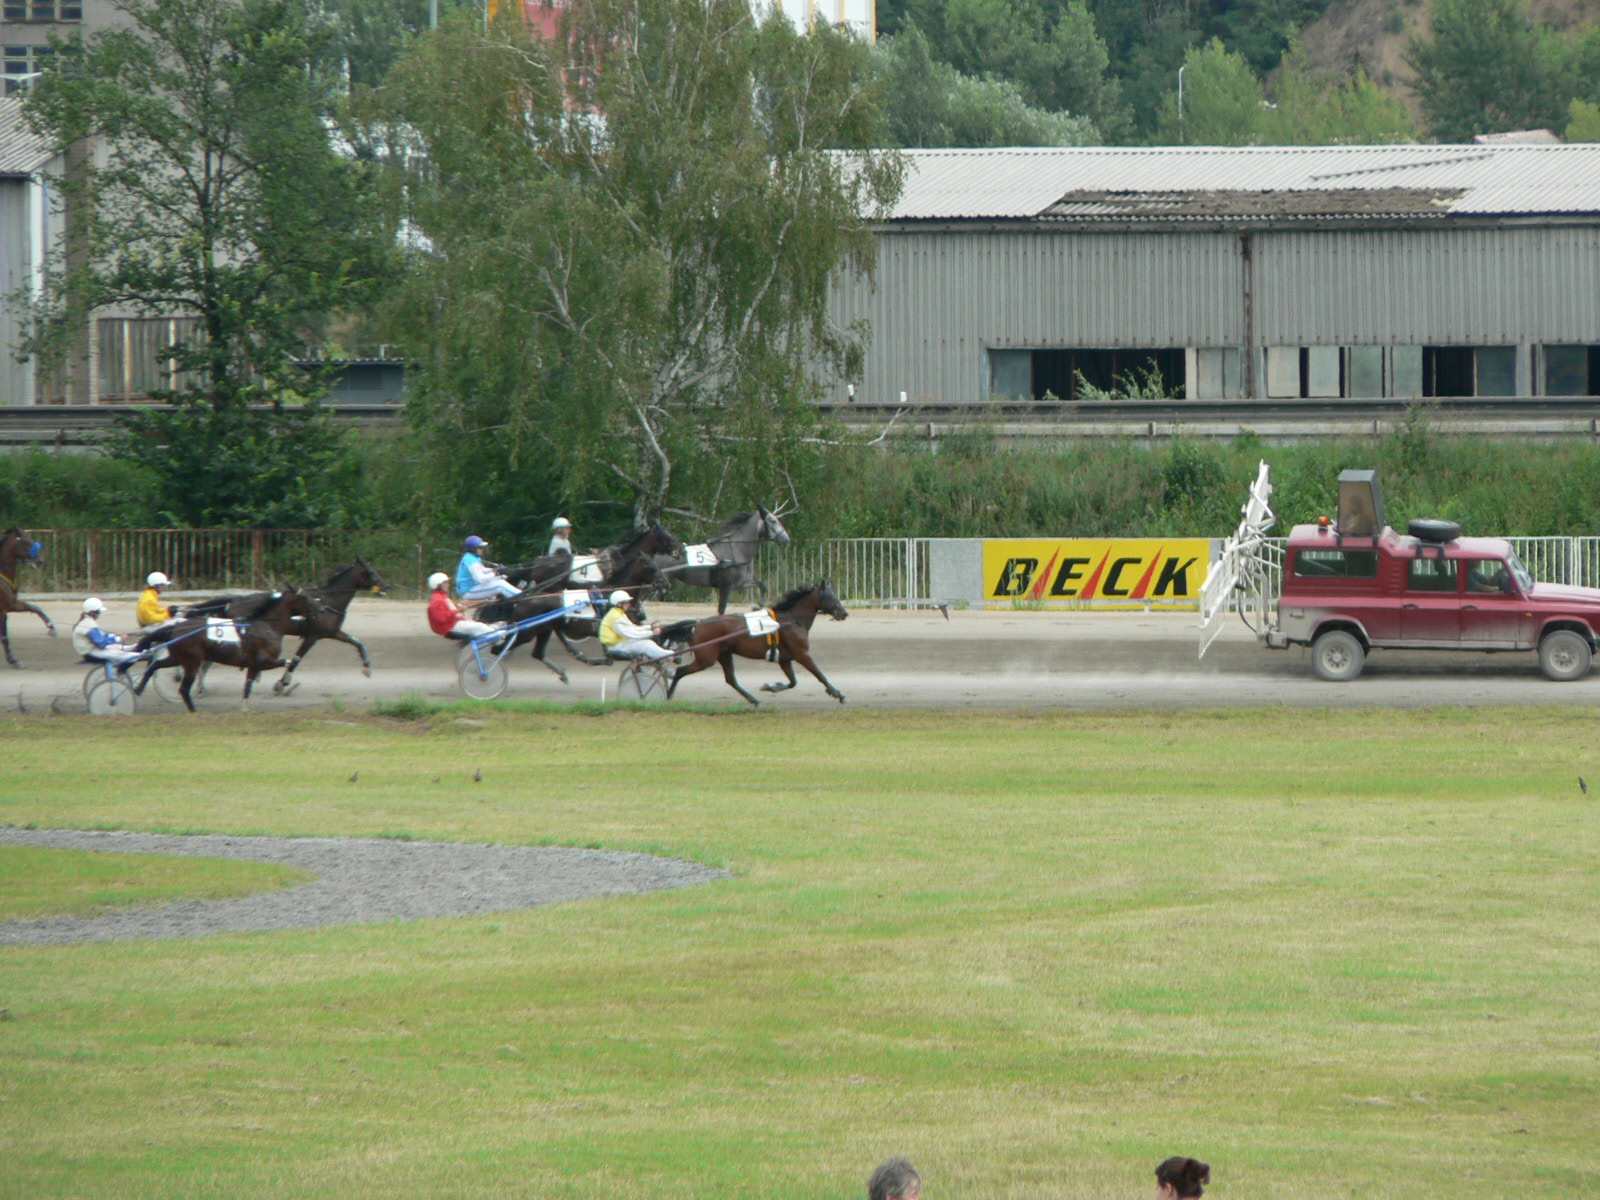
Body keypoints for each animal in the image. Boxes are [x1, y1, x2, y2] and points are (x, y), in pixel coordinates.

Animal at [0, 524, 56, 668]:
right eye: (26, 542)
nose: (40, 561)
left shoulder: (12, 605)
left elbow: (34, 608)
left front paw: (51, 627)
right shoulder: (2, 611)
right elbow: (4, 637)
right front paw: (13, 660)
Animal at [140, 588, 312, 713]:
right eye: (306, 599)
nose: (316, 613)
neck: (265, 626)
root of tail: (176, 627)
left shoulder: (254, 664)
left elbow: (248, 685)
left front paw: (245, 708)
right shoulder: (264, 661)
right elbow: (288, 662)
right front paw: (284, 683)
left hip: (178, 657)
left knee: (155, 665)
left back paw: (139, 688)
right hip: (192, 661)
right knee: (183, 687)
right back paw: (193, 708)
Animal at [656, 508, 793, 620]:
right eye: (773, 520)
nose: (786, 539)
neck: (737, 550)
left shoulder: (740, 584)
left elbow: (763, 585)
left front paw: (758, 606)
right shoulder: (727, 586)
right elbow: (721, 611)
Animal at [665, 579, 851, 710]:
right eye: (831, 596)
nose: (844, 613)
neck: (792, 620)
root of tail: (699, 624)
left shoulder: (785, 659)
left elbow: (793, 682)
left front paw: (771, 686)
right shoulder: (802, 654)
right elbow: (819, 674)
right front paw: (837, 694)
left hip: (724, 654)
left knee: (731, 679)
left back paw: (753, 700)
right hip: (706, 657)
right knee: (681, 671)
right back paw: (669, 696)